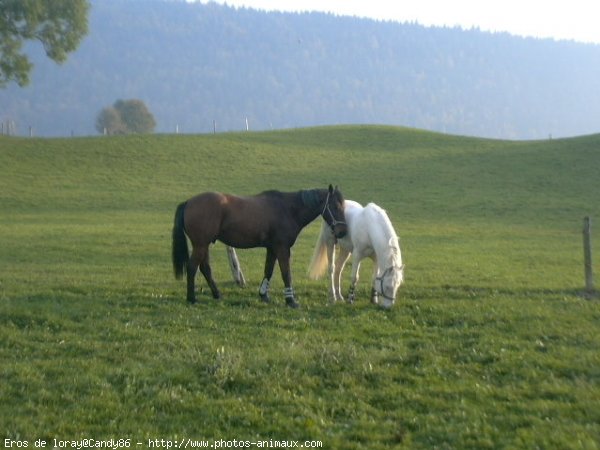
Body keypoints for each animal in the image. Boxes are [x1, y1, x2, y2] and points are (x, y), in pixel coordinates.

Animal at [171, 185, 346, 308]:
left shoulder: (272, 248)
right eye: (335, 207)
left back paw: (217, 294)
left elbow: (268, 270)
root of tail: (188, 202)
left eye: (343, 206)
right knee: (192, 267)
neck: (288, 209)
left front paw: (263, 295)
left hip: (204, 245)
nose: (342, 231)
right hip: (200, 245)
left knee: (205, 268)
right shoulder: (282, 248)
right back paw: (191, 298)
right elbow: (286, 274)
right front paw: (291, 300)